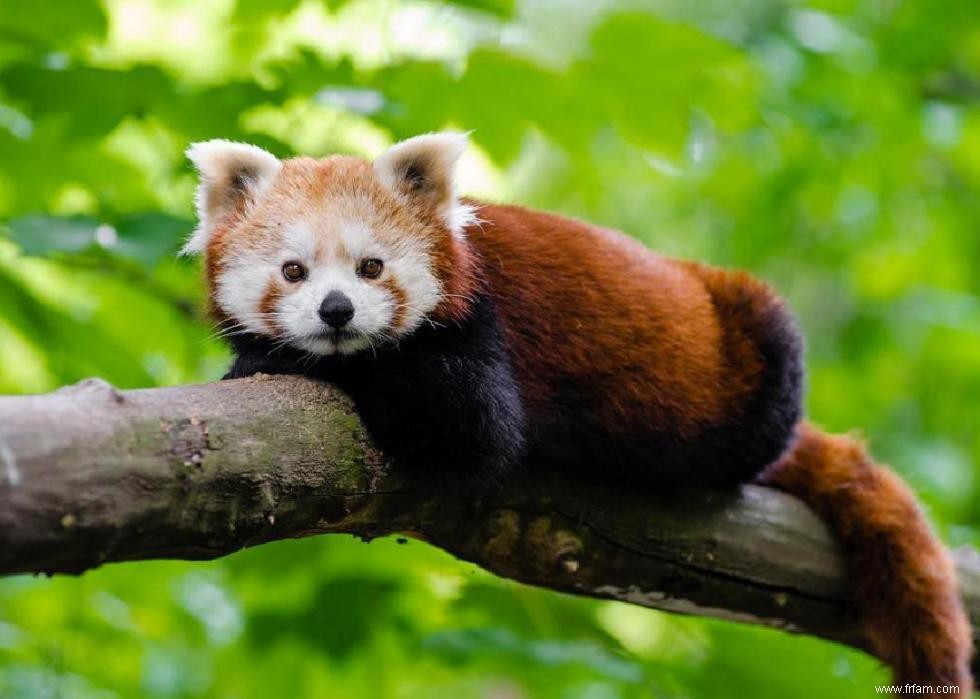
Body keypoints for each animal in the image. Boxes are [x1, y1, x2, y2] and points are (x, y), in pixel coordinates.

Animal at [184, 131, 972, 688]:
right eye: (293, 271)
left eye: (371, 267)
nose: (337, 311)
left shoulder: (481, 335)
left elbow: (471, 425)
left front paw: (279, 360)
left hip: (755, 344)